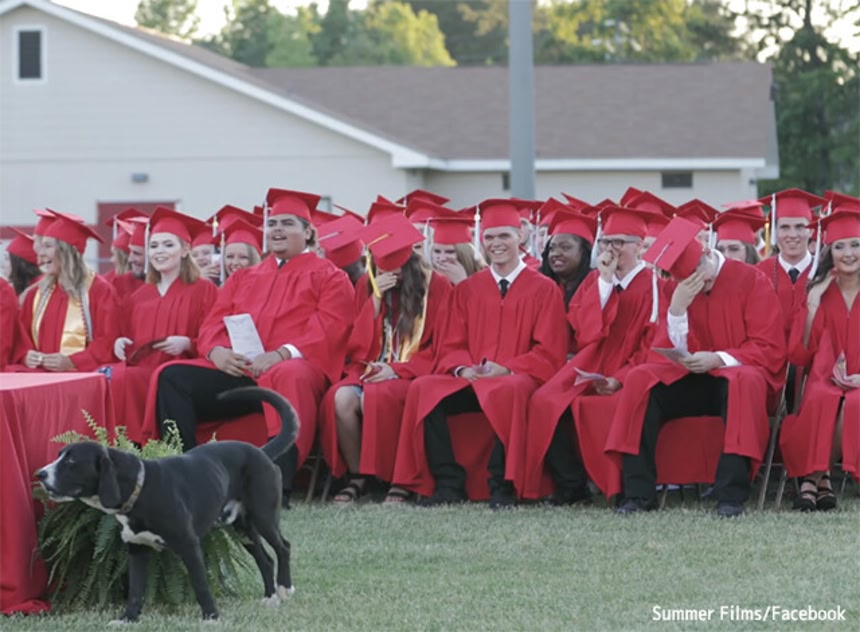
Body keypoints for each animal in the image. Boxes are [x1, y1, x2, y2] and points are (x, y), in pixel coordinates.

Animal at [37, 386, 299, 622]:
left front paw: (211, 617)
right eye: (59, 455)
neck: (141, 490)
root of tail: (261, 452)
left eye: (71, 460)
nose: (40, 474)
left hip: (263, 516)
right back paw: (270, 598)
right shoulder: (137, 549)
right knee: (265, 559)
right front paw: (128, 619)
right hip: (242, 526)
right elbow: (135, 591)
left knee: (283, 546)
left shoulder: (189, 544)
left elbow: (201, 585)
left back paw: (285, 588)